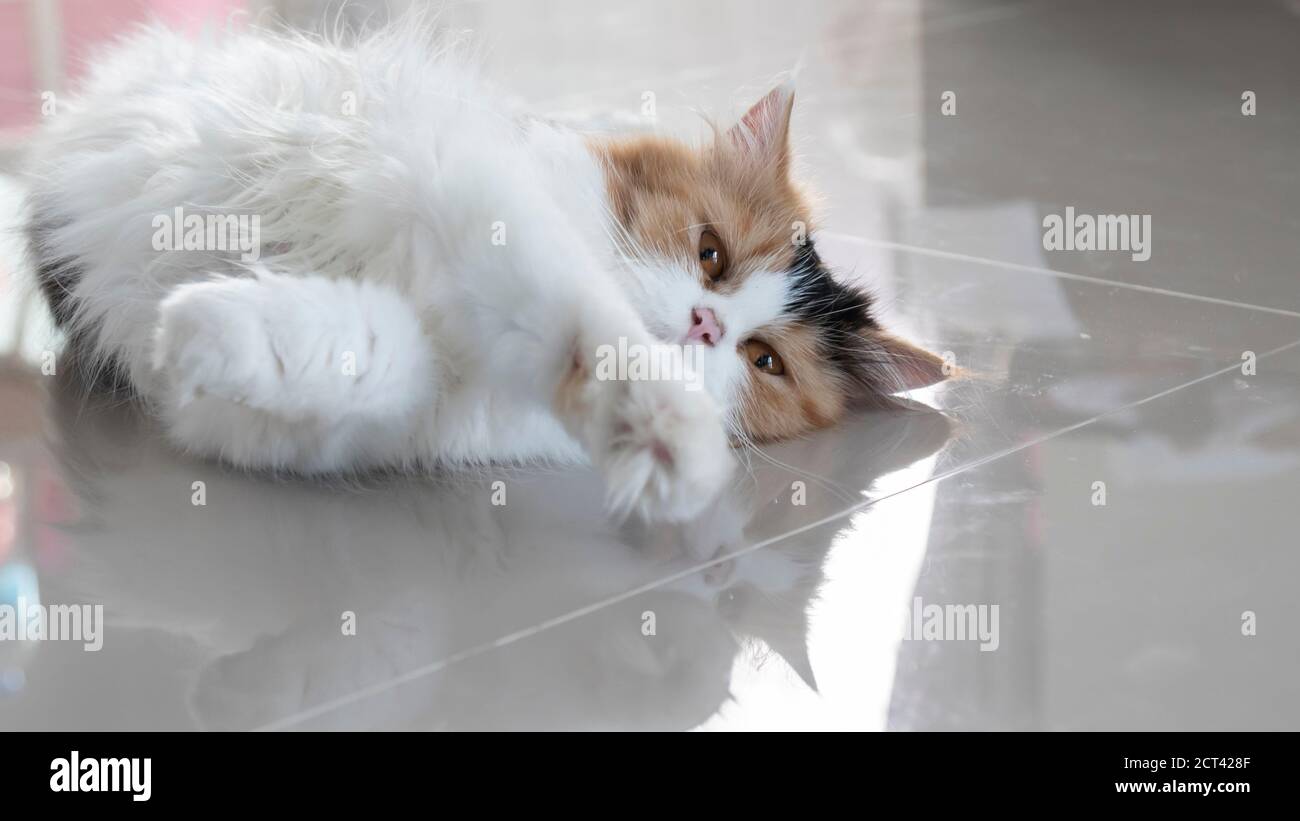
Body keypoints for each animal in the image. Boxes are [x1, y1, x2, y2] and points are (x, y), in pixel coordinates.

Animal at [27, 14, 946, 519]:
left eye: (764, 361)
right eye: (710, 255)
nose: (704, 323)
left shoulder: (411, 404)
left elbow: (350, 357)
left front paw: (195, 327)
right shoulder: (473, 194)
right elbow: (579, 316)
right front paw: (676, 433)